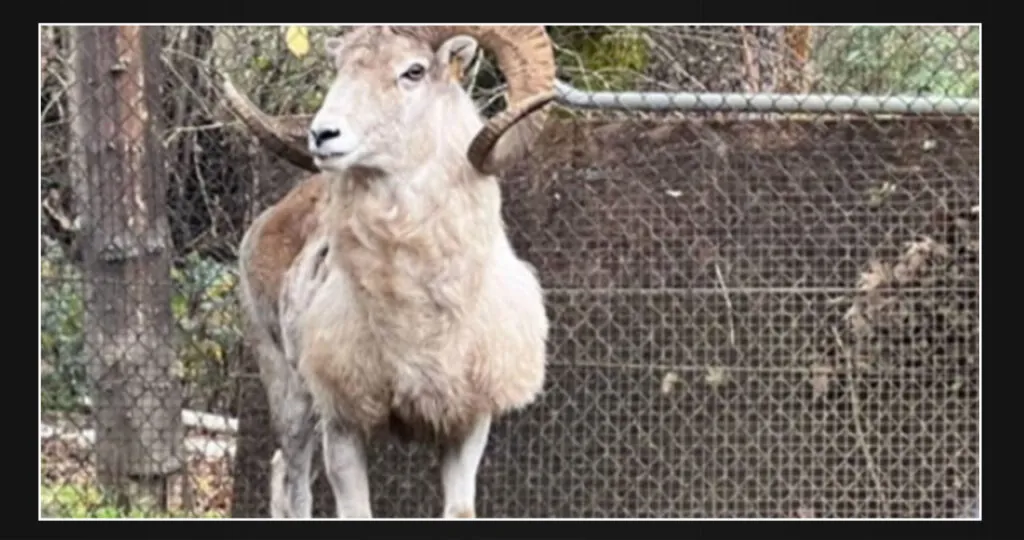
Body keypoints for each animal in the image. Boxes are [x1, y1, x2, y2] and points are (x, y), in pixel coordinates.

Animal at [223, 26, 557, 520]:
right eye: (340, 67)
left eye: (413, 71)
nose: (323, 135)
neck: (419, 322)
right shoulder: (342, 424)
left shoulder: (467, 424)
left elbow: (459, 510)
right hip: (290, 395)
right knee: (294, 484)